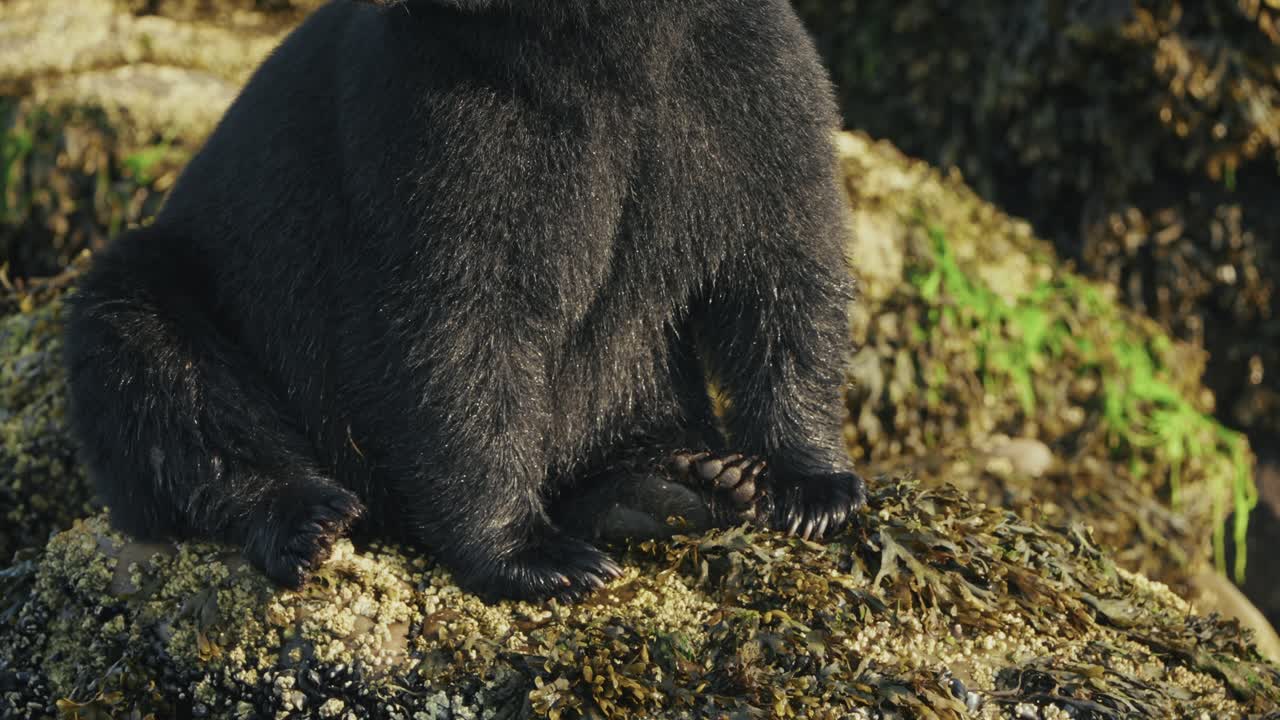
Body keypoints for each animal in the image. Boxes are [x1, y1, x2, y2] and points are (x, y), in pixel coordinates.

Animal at [63, 0, 865, 602]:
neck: (593, 45)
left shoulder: (739, 77)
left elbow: (786, 254)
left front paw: (815, 485)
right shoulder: (440, 105)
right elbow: (456, 316)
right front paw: (534, 555)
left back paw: (679, 481)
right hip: (185, 279)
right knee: (150, 357)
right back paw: (303, 512)